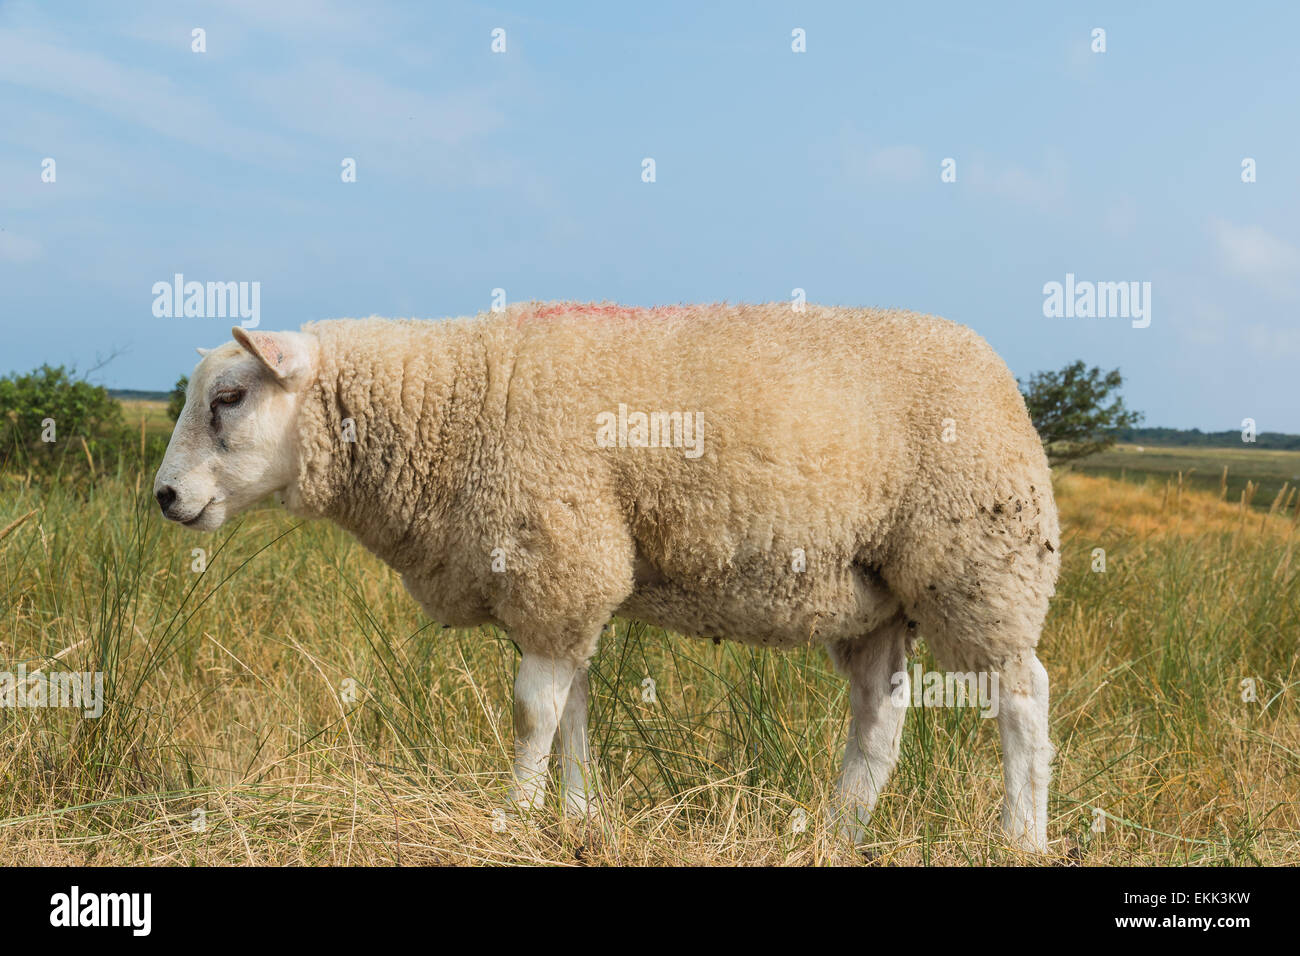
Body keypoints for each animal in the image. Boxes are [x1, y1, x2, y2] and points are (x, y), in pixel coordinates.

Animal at [157, 300, 1060, 853]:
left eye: (230, 397)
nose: (165, 497)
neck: (451, 404)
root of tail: (998, 370)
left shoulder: (558, 562)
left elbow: (533, 713)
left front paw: (511, 819)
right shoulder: (568, 586)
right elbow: (572, 714)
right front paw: (578, 817)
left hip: (982, 564)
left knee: (1023, 698)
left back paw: (1020, 837)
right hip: (874, 599)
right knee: (879, 718)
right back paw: (839, 835)